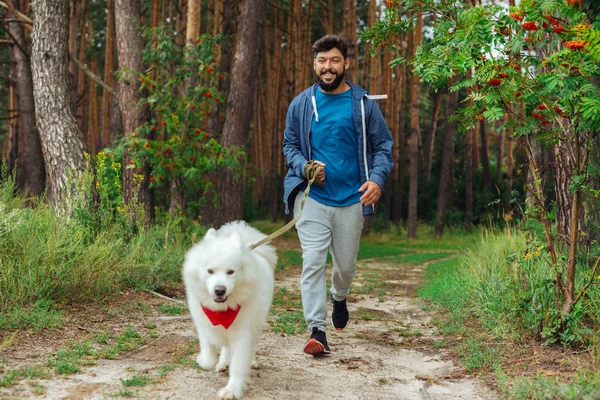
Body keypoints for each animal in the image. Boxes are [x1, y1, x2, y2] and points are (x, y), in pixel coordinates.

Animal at [182, 220, 278, 398]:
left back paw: (251, 361)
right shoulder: (204, 326)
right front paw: (203, 359)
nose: (219, 290)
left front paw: (232, 390)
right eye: (210, 271)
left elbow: (238, 364)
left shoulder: (242, 332)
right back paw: (223, 362)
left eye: (231, 272)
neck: (222, 310)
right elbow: (208, 357)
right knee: (225, 347)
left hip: (257, 323)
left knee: (251, 346)